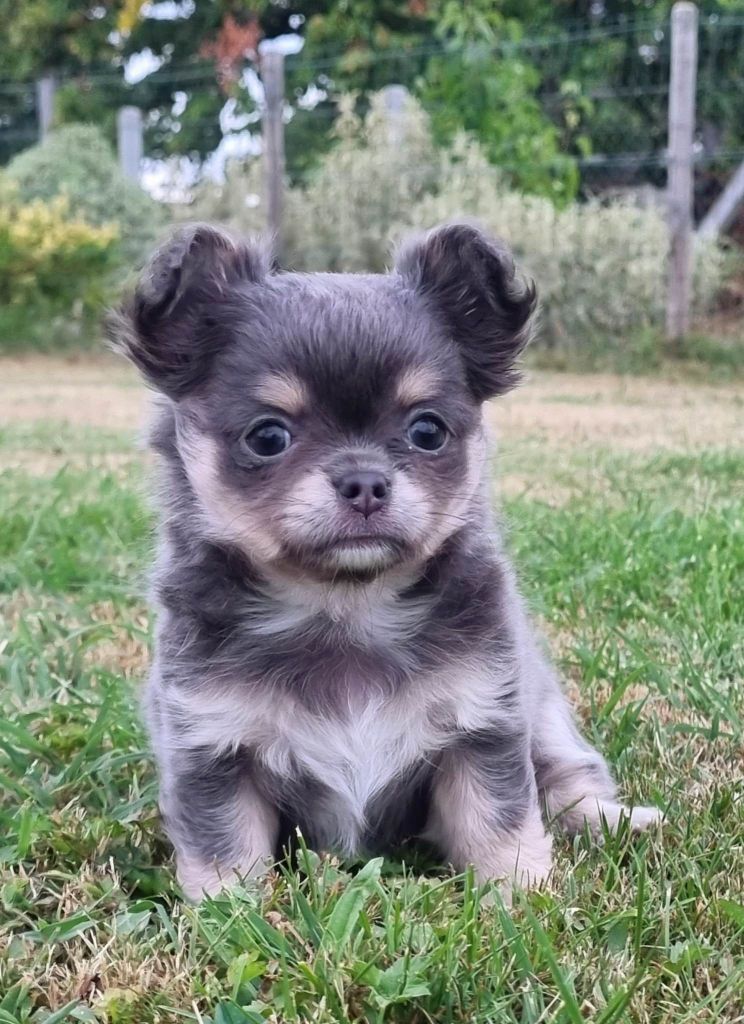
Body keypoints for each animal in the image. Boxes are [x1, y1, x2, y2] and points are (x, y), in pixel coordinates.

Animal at [108, 222, 659, 897]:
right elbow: (225, 852)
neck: (345, 609)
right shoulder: (211, 746)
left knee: (566, 779)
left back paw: (614, 820)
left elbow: (498, 824)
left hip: (544, 715)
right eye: (267, 437)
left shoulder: (484, 723)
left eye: (428, 431)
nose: (366, 481)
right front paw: (229, 913)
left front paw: (521, 901)